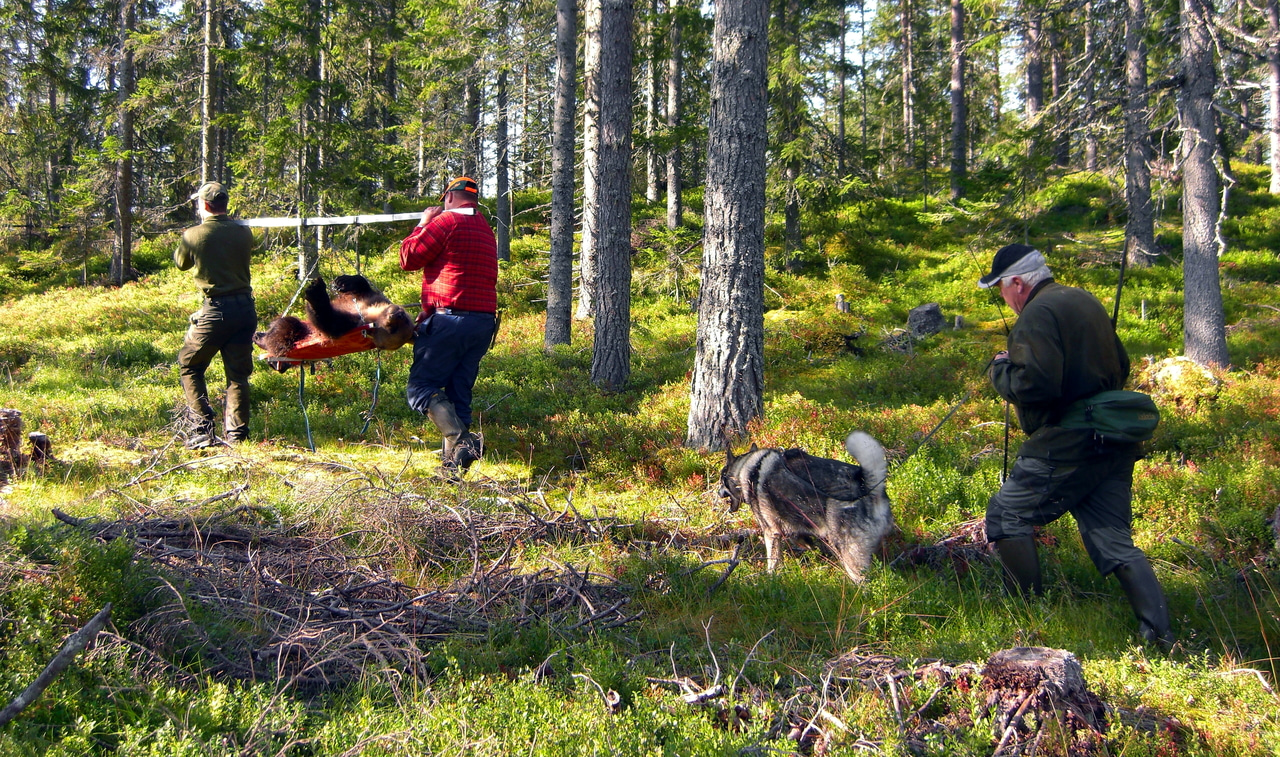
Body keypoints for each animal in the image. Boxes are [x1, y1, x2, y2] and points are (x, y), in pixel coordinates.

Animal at [254, 275, 415, 365]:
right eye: (406, 321)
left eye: (392, 330)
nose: (398, 314)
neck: (371, 313)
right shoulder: (370, 299)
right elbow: (362, 286)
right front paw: (343, 281)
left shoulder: (353, 324)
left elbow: (329, 321)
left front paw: (316, 293)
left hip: (301, 335)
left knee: (287, 327)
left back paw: (261, 339)